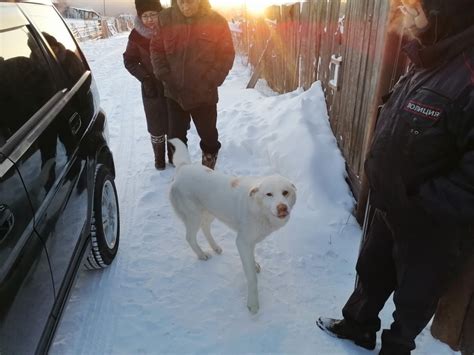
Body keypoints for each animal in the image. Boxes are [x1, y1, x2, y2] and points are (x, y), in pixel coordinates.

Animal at [168, 139, 296, 314]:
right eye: (269, 194)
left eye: (285, 192)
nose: (282, 208)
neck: (258, 209)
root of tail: (183, 167)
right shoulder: (242, 242)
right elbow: (251, 278)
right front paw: (253, 303)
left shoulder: (249, 242)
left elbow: (251, 261)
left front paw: (254, 264)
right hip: (193, 216)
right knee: (189, 237)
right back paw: (202, 254)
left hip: (211, 212)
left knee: (205, 227)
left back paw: (215, 247)